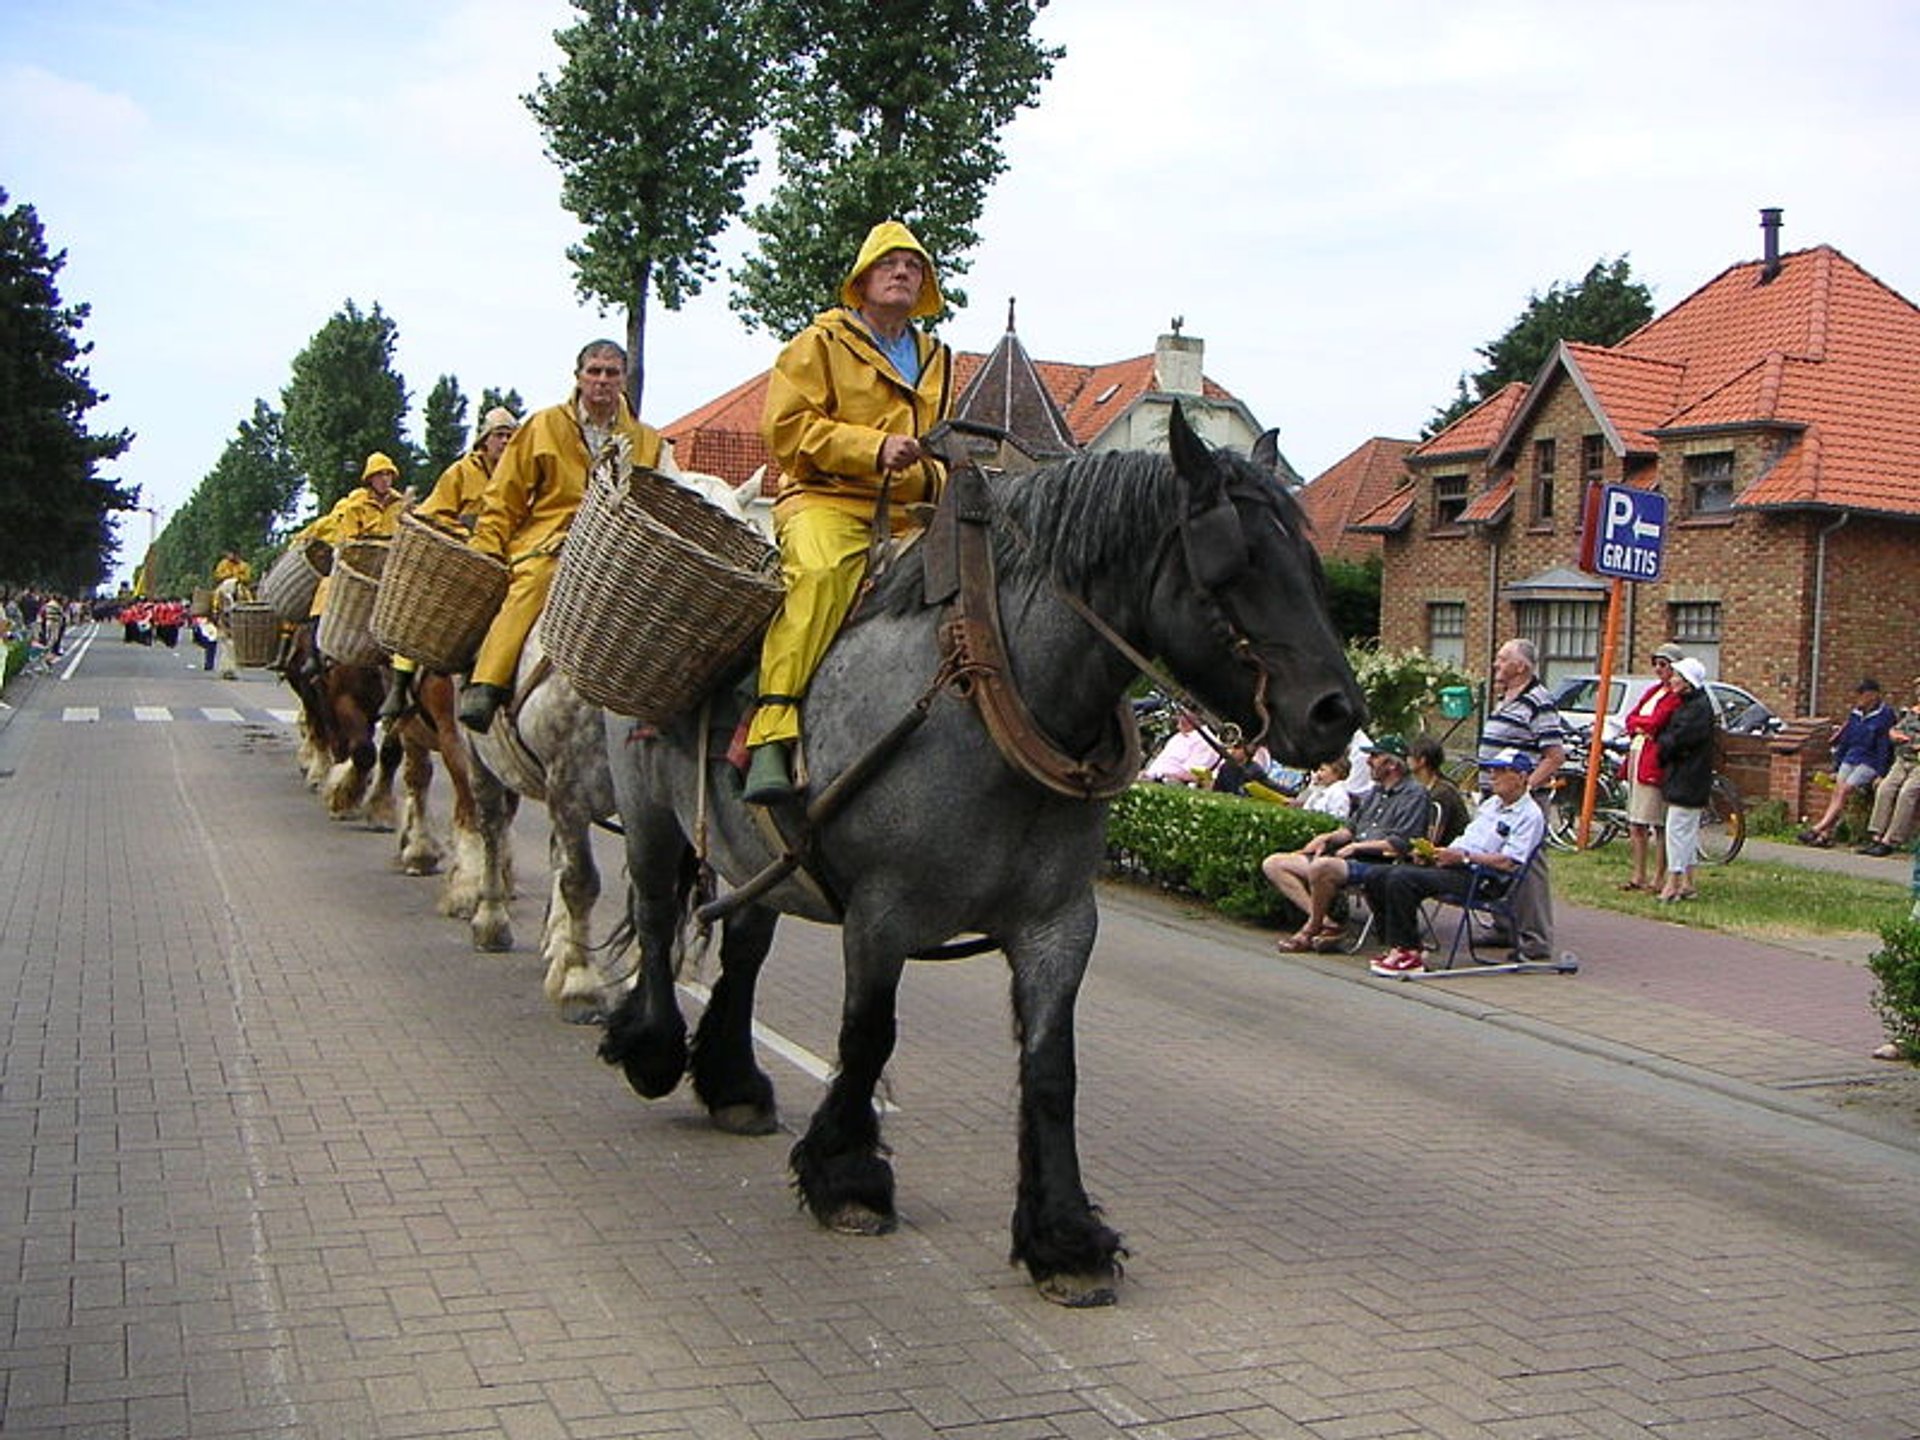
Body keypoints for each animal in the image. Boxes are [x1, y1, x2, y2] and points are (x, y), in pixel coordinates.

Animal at [599, 407, 1367, 1305]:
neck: (991, 696)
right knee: (655, 916)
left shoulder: (1058, 924)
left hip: (759, 854)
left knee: (744, 951)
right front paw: (849, 1176)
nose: (1336, 714)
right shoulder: (881, 914)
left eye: (1310, 566)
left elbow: (1052, 1071)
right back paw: (653, 1047)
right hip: (651, 816)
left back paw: (732, 1083)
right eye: (1233, 563)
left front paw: (1062, 1236)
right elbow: (869, 1037)